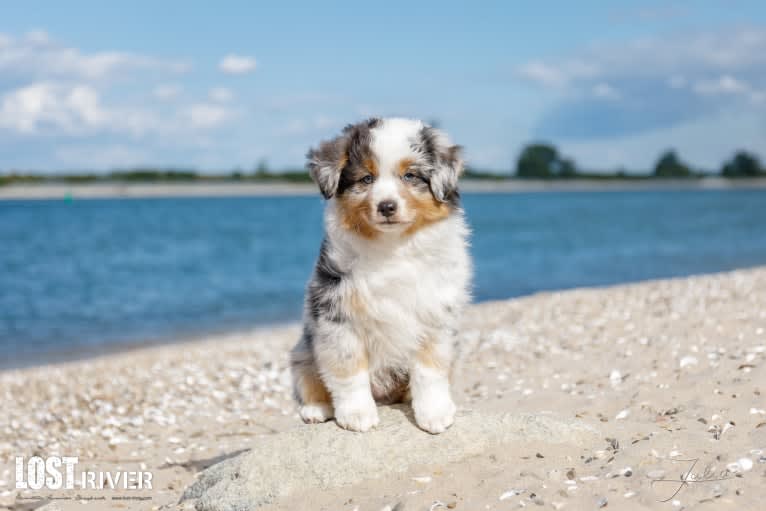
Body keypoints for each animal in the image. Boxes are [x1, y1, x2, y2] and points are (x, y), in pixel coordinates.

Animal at [292, 118, 472, 434]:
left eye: (410, 176)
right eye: (366, 179)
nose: (386, 206)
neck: (393, 247)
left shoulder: (437, 314)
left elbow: (430, 370)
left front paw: (435, 414)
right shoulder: (336, 313)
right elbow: (348, 369)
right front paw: (357, 415)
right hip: (303, 349)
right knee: (309, 377)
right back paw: (316, 409)